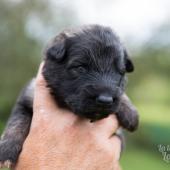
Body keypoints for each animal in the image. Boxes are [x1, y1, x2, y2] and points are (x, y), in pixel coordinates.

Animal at [0, 24, 138, 168]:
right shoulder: (27, 97)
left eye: (119, 72)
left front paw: (130, 111)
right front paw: (7, 150)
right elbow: (17, 123)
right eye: (80, 68)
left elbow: (121, 94)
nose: (105, 100)